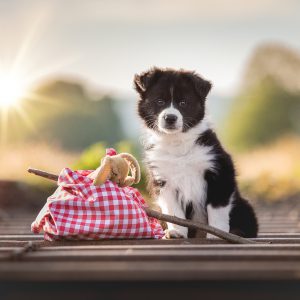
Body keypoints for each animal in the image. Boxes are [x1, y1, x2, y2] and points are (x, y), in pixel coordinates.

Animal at [134, 67, 258, 239]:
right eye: (159, 101)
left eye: (183, 103)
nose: (170, 118)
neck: (177, 143)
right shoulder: (163, 181)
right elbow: (174, 212)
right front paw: (177, 232)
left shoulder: (220, 170)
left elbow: (217, 208)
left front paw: (217, 233)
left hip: (244, 207)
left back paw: (236, 232)